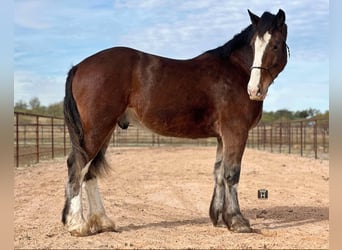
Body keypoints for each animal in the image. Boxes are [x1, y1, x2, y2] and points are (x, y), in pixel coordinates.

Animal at [62, 9, 288, 236]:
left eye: (275, 45)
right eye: (254, 45)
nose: (254, 90)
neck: (236, 70)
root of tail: (79, 66)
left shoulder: (222, 137)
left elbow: (218, 172)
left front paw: (217, 217)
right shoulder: (235, 131)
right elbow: (231, 174)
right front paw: (237, 221)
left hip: (104, 130)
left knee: (90, 171)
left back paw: (102, 222)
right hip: (96, 129)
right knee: (77, 167)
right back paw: (78, 224)